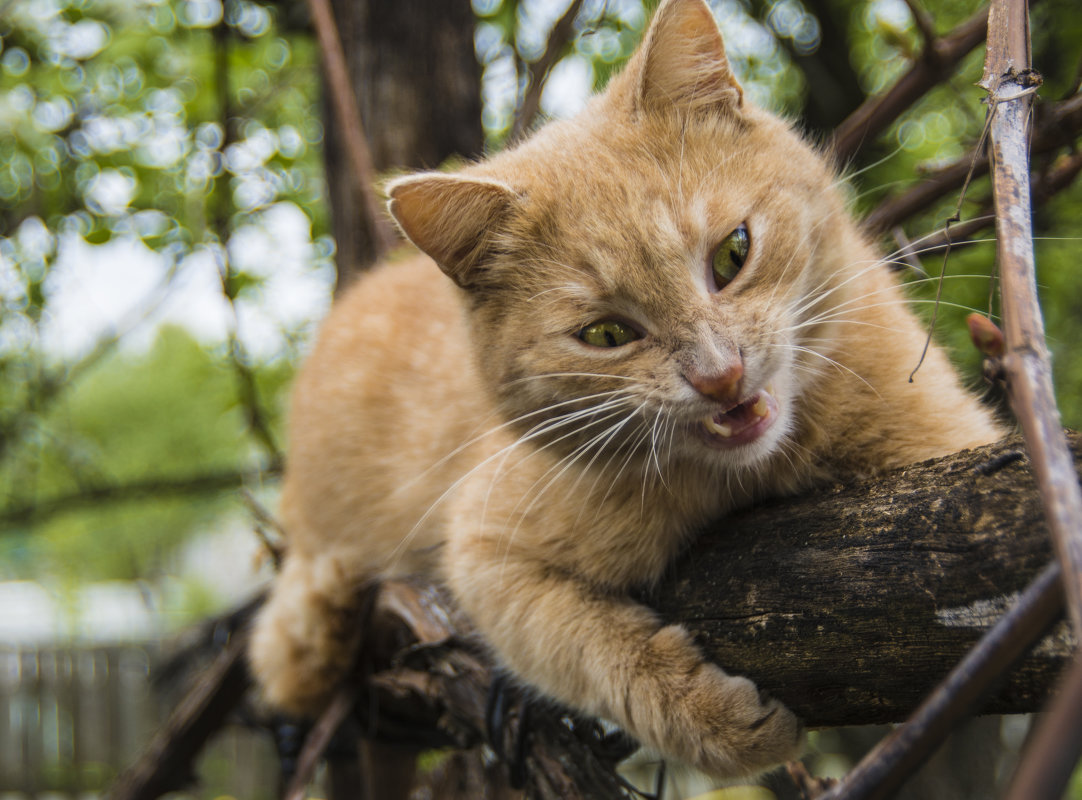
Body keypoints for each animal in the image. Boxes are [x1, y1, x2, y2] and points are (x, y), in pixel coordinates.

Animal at [248, 0, 999, 783]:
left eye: (733, 254)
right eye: (607, 334)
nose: (719, 374)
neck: (753, 478)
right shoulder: (486, 557)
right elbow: (587, 651)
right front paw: (712, 718)